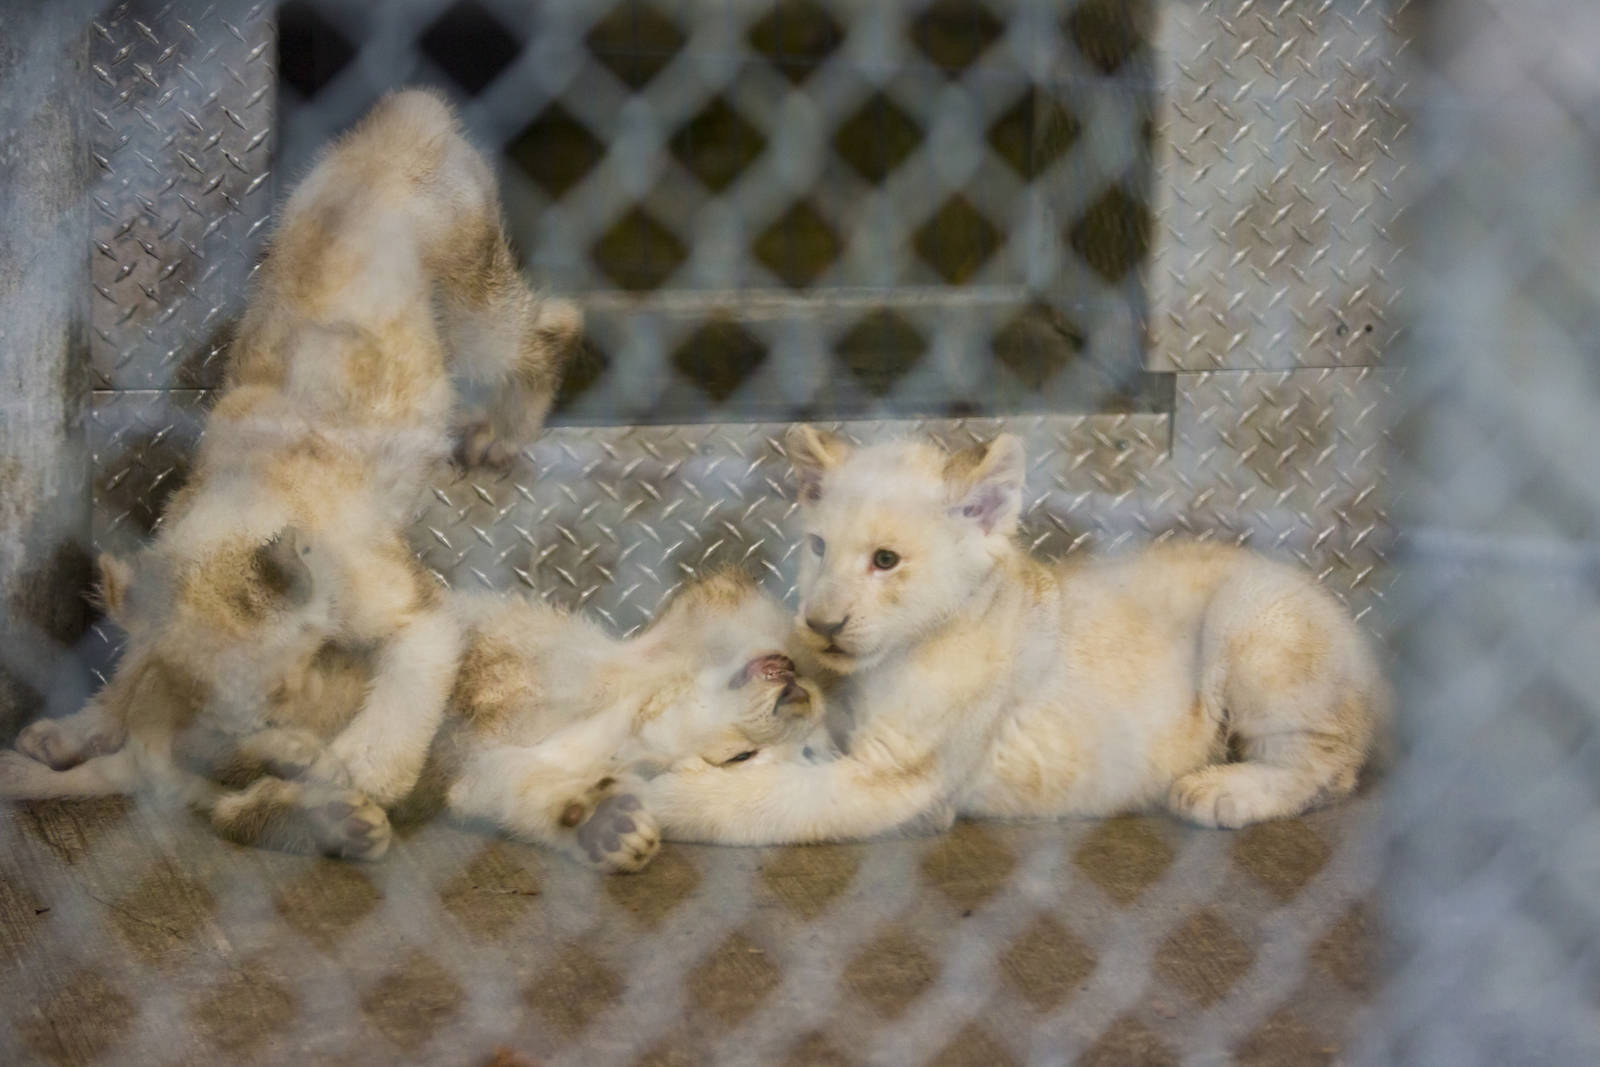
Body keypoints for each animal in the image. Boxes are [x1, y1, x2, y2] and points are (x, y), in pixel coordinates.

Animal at [641, 428, 1387, 843]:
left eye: (885, 560)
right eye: (818, 546)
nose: (822, 623)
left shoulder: (898, 778)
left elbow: (767, 800)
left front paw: (658, 798)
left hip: (1256, 617)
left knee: (1327, 762)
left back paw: (1220, 790)